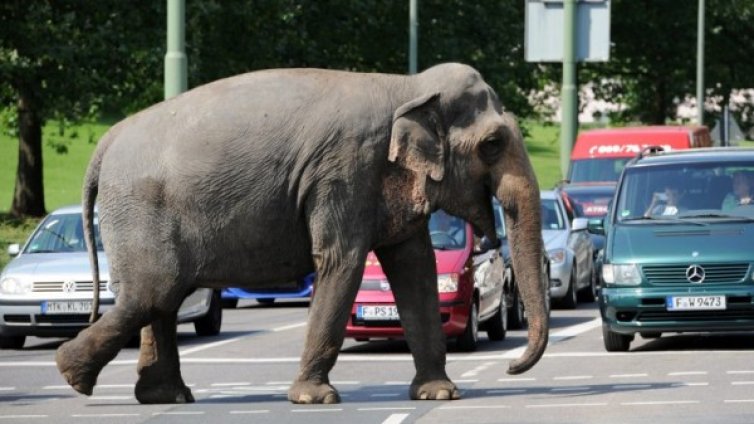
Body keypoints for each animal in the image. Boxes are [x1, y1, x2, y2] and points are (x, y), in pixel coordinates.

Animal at [54, 62, 548, 404]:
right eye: (493, 144)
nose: (510, 367)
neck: (406, 86)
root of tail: (105, 143)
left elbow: (416, 268)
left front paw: (439, 393)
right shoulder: (344, 170)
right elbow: (341, 261)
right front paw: (316, 398)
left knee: (162, 299)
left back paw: (166, 397)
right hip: (141, 212)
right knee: (153, 293)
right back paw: (70, 374)